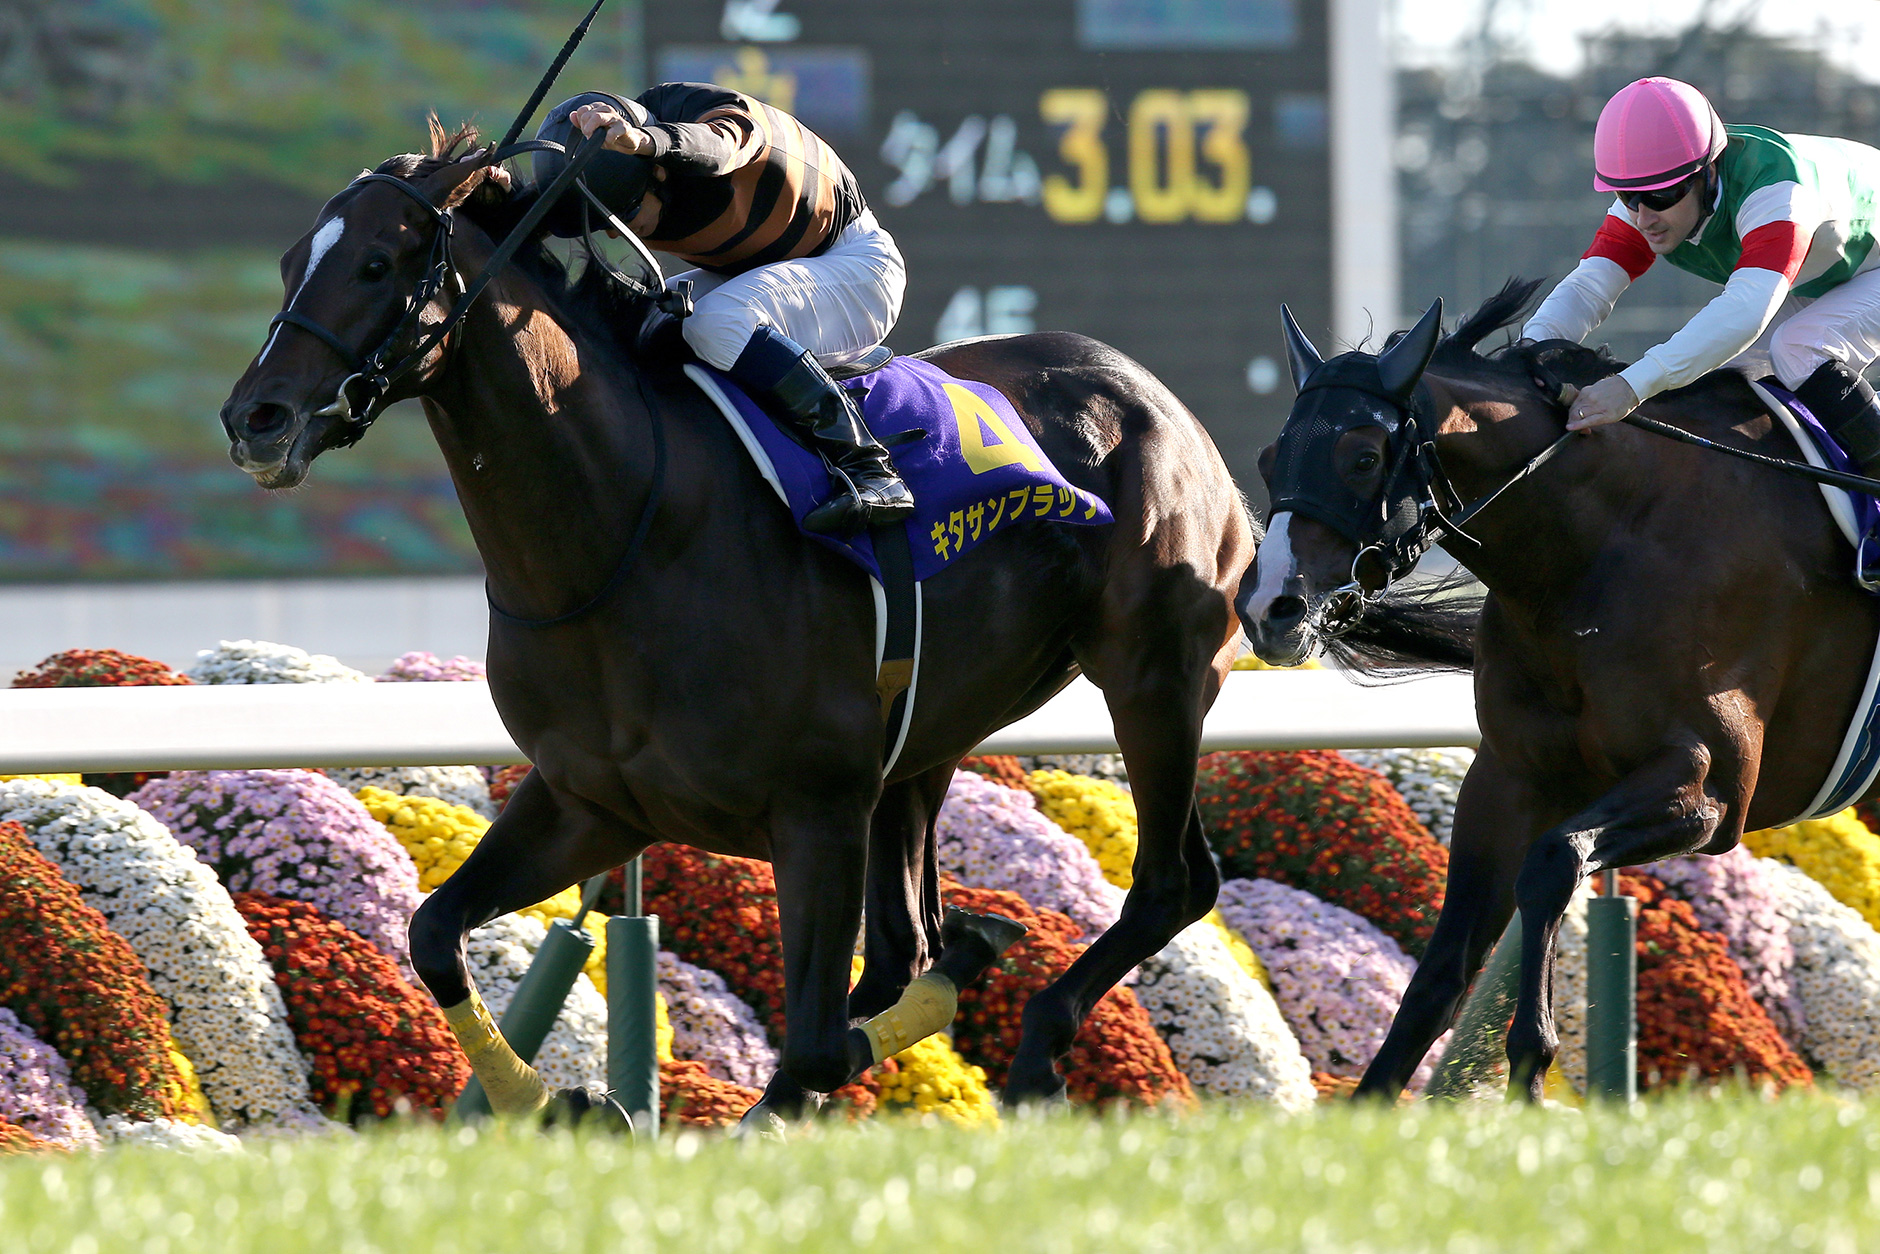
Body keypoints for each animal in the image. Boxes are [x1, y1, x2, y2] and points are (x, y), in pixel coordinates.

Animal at [216, 127, 1248, 1120]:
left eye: (378, 263)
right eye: (288, 261)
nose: (254, 417)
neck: (628, 537)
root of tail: (1157, 398)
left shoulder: (818, 810)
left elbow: (822, 1042)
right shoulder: (594, 801)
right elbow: (433, 930)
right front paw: (553, 1100)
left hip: (1152, 673)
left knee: (1170, 881)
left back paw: (1037, 1044)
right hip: (928, 739)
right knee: (905, 941)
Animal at [1240, 282, 1872, 1097]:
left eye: (1363, 455)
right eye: (1269, 458)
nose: (1269, 610)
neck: (1599, 550)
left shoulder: (1711, 787)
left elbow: (1554, 862)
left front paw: (1531, 1064)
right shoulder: (1509, 776)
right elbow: (1441, 970)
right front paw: (1372, 1104)